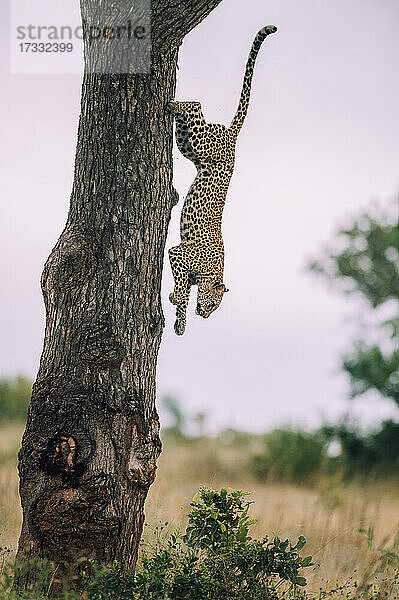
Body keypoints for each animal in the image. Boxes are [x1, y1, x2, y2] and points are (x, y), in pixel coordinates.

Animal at [167, 25, 276, 336]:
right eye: (215, 305)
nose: (205, 315)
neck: (212, 271)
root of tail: (233, 136)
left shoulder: (182, 261)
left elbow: (183, 289)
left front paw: (178, 313)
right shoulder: (178, 253)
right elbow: (183, 287)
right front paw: (179, 305)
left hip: (190, 146)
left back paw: (171, 106)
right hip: (201, 141)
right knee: (196, 104)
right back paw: (171, 104)